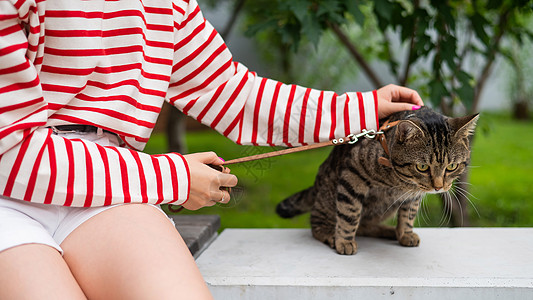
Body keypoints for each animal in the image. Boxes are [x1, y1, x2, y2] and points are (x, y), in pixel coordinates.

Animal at [276, 106, 476, 254]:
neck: (400, 181)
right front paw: (344, 241)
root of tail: (316, 186)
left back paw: (389, 231)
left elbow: (409, 214)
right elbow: (349, 213)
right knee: (317, 221)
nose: (438, 187)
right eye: (422, 167)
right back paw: (331, 234)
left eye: (452, 167)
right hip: (329, 196)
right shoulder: (353, 174)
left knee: (365, 225)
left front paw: (405, 233)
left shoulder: (413, 194)